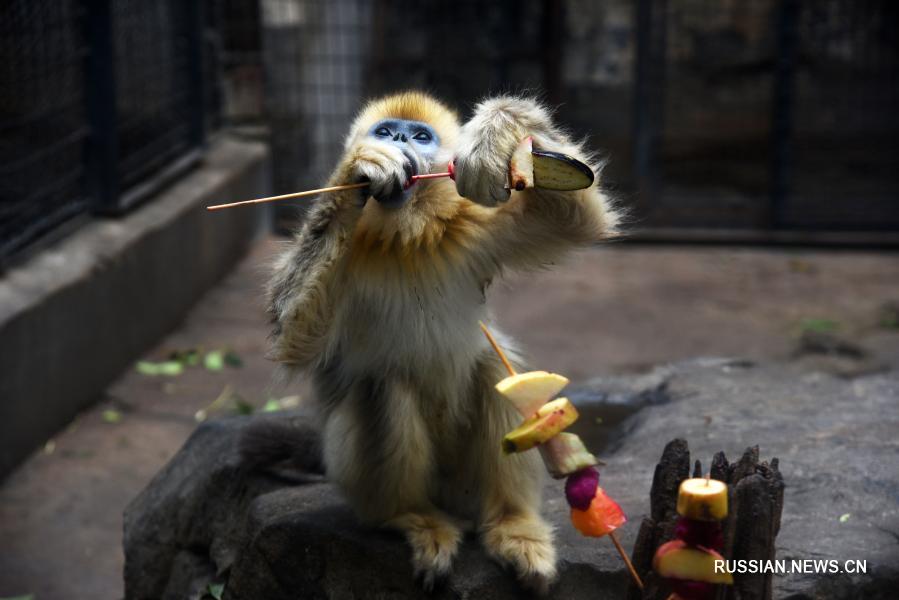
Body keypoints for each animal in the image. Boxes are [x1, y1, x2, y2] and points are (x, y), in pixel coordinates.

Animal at [263, 91, 620, 593]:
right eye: (385, 132)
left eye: (419, 136)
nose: (398, 142)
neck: (405, 236)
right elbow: (293, 341)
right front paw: (359, 172)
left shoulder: (474, 222)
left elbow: (580, 221)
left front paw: (498, 131)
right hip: (359, 482)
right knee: (383, 385)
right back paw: (413, 518)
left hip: (464, 485)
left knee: (492, 369)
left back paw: (511, 524)